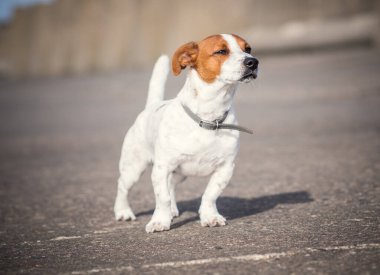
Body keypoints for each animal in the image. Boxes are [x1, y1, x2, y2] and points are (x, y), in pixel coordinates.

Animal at [114, 34, 260, 233]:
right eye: (221, 51)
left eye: (248, 49)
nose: (253, 62)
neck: (208, 118)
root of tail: (152, 105)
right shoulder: (162, 168)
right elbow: (162, 198)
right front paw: (159, 221)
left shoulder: (225, 168)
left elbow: (210, 195)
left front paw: (210, 217)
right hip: (134, 167)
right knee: (123, 186)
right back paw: (123, 212)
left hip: (180, 174)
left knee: (171, 185)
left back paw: (172, 211)